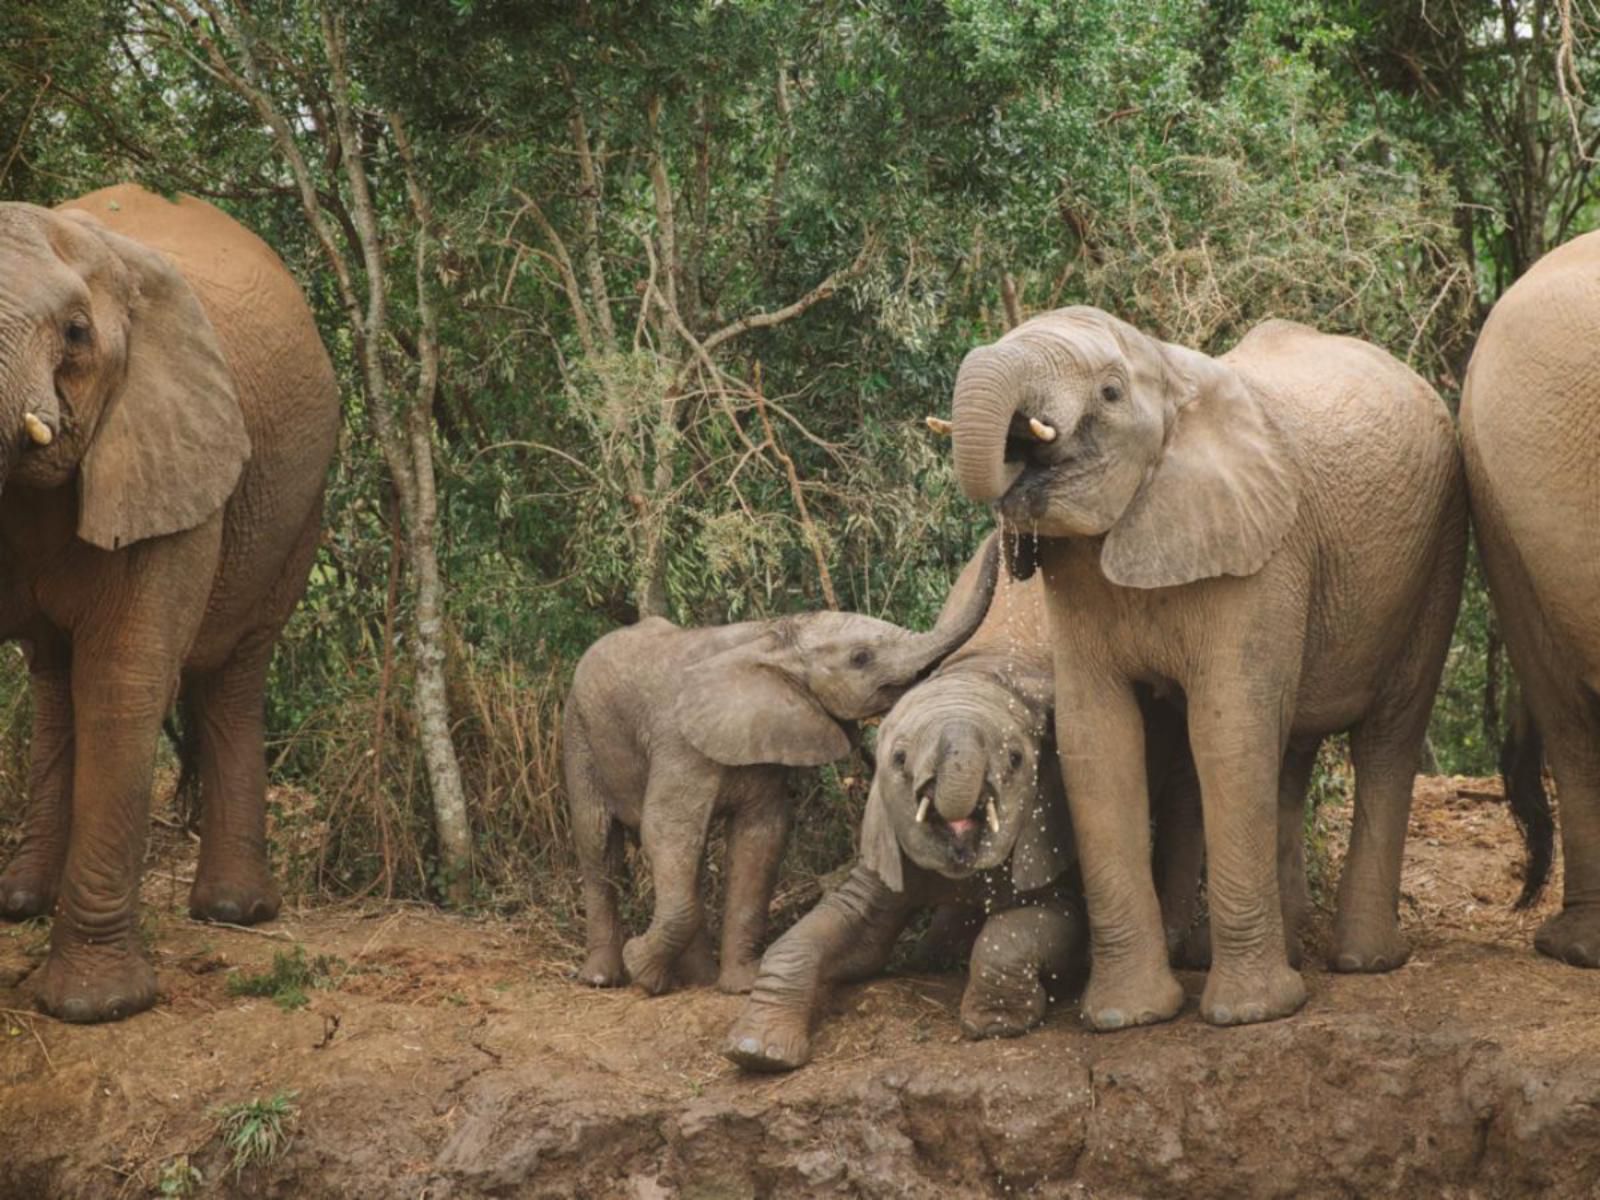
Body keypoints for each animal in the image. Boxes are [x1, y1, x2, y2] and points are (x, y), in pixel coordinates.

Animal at [0, 188, 337, 1024]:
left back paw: (233, 911)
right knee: (53, 675)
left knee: (231, 677)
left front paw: (94, 1008)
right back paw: (20, 900)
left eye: (77, 332)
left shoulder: (167, 449)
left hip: (292, 510)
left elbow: (125, 678)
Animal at [556, 534, 992, 998]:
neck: (770, 636)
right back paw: (603, 978)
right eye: (861, 658)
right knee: (598, 842)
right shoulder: (678, 743)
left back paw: (700, 978)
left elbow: (761, 838)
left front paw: (742, 986)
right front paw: (643, 969)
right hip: (578, 731)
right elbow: (667, 833)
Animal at [720, 553, 1203, 1068]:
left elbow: (1037, 921)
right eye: (899, 759)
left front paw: (994, 1025)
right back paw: (933, 955)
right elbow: (841, 925)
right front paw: (756, 1053)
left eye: (1016, 759)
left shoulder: (1050, 823)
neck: (983, 668)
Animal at [947, 310, 1465, 1036]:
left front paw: (1250, 1015)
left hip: (1439, 552)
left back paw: (1364, 962)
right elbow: (1099, 742)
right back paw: (1283, 951)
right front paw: (1126, 1018)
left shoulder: (1262, 552)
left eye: (1110, 393)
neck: (1171, 375)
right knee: (1289, 750)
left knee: (1387, 736)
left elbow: (1228, 731)